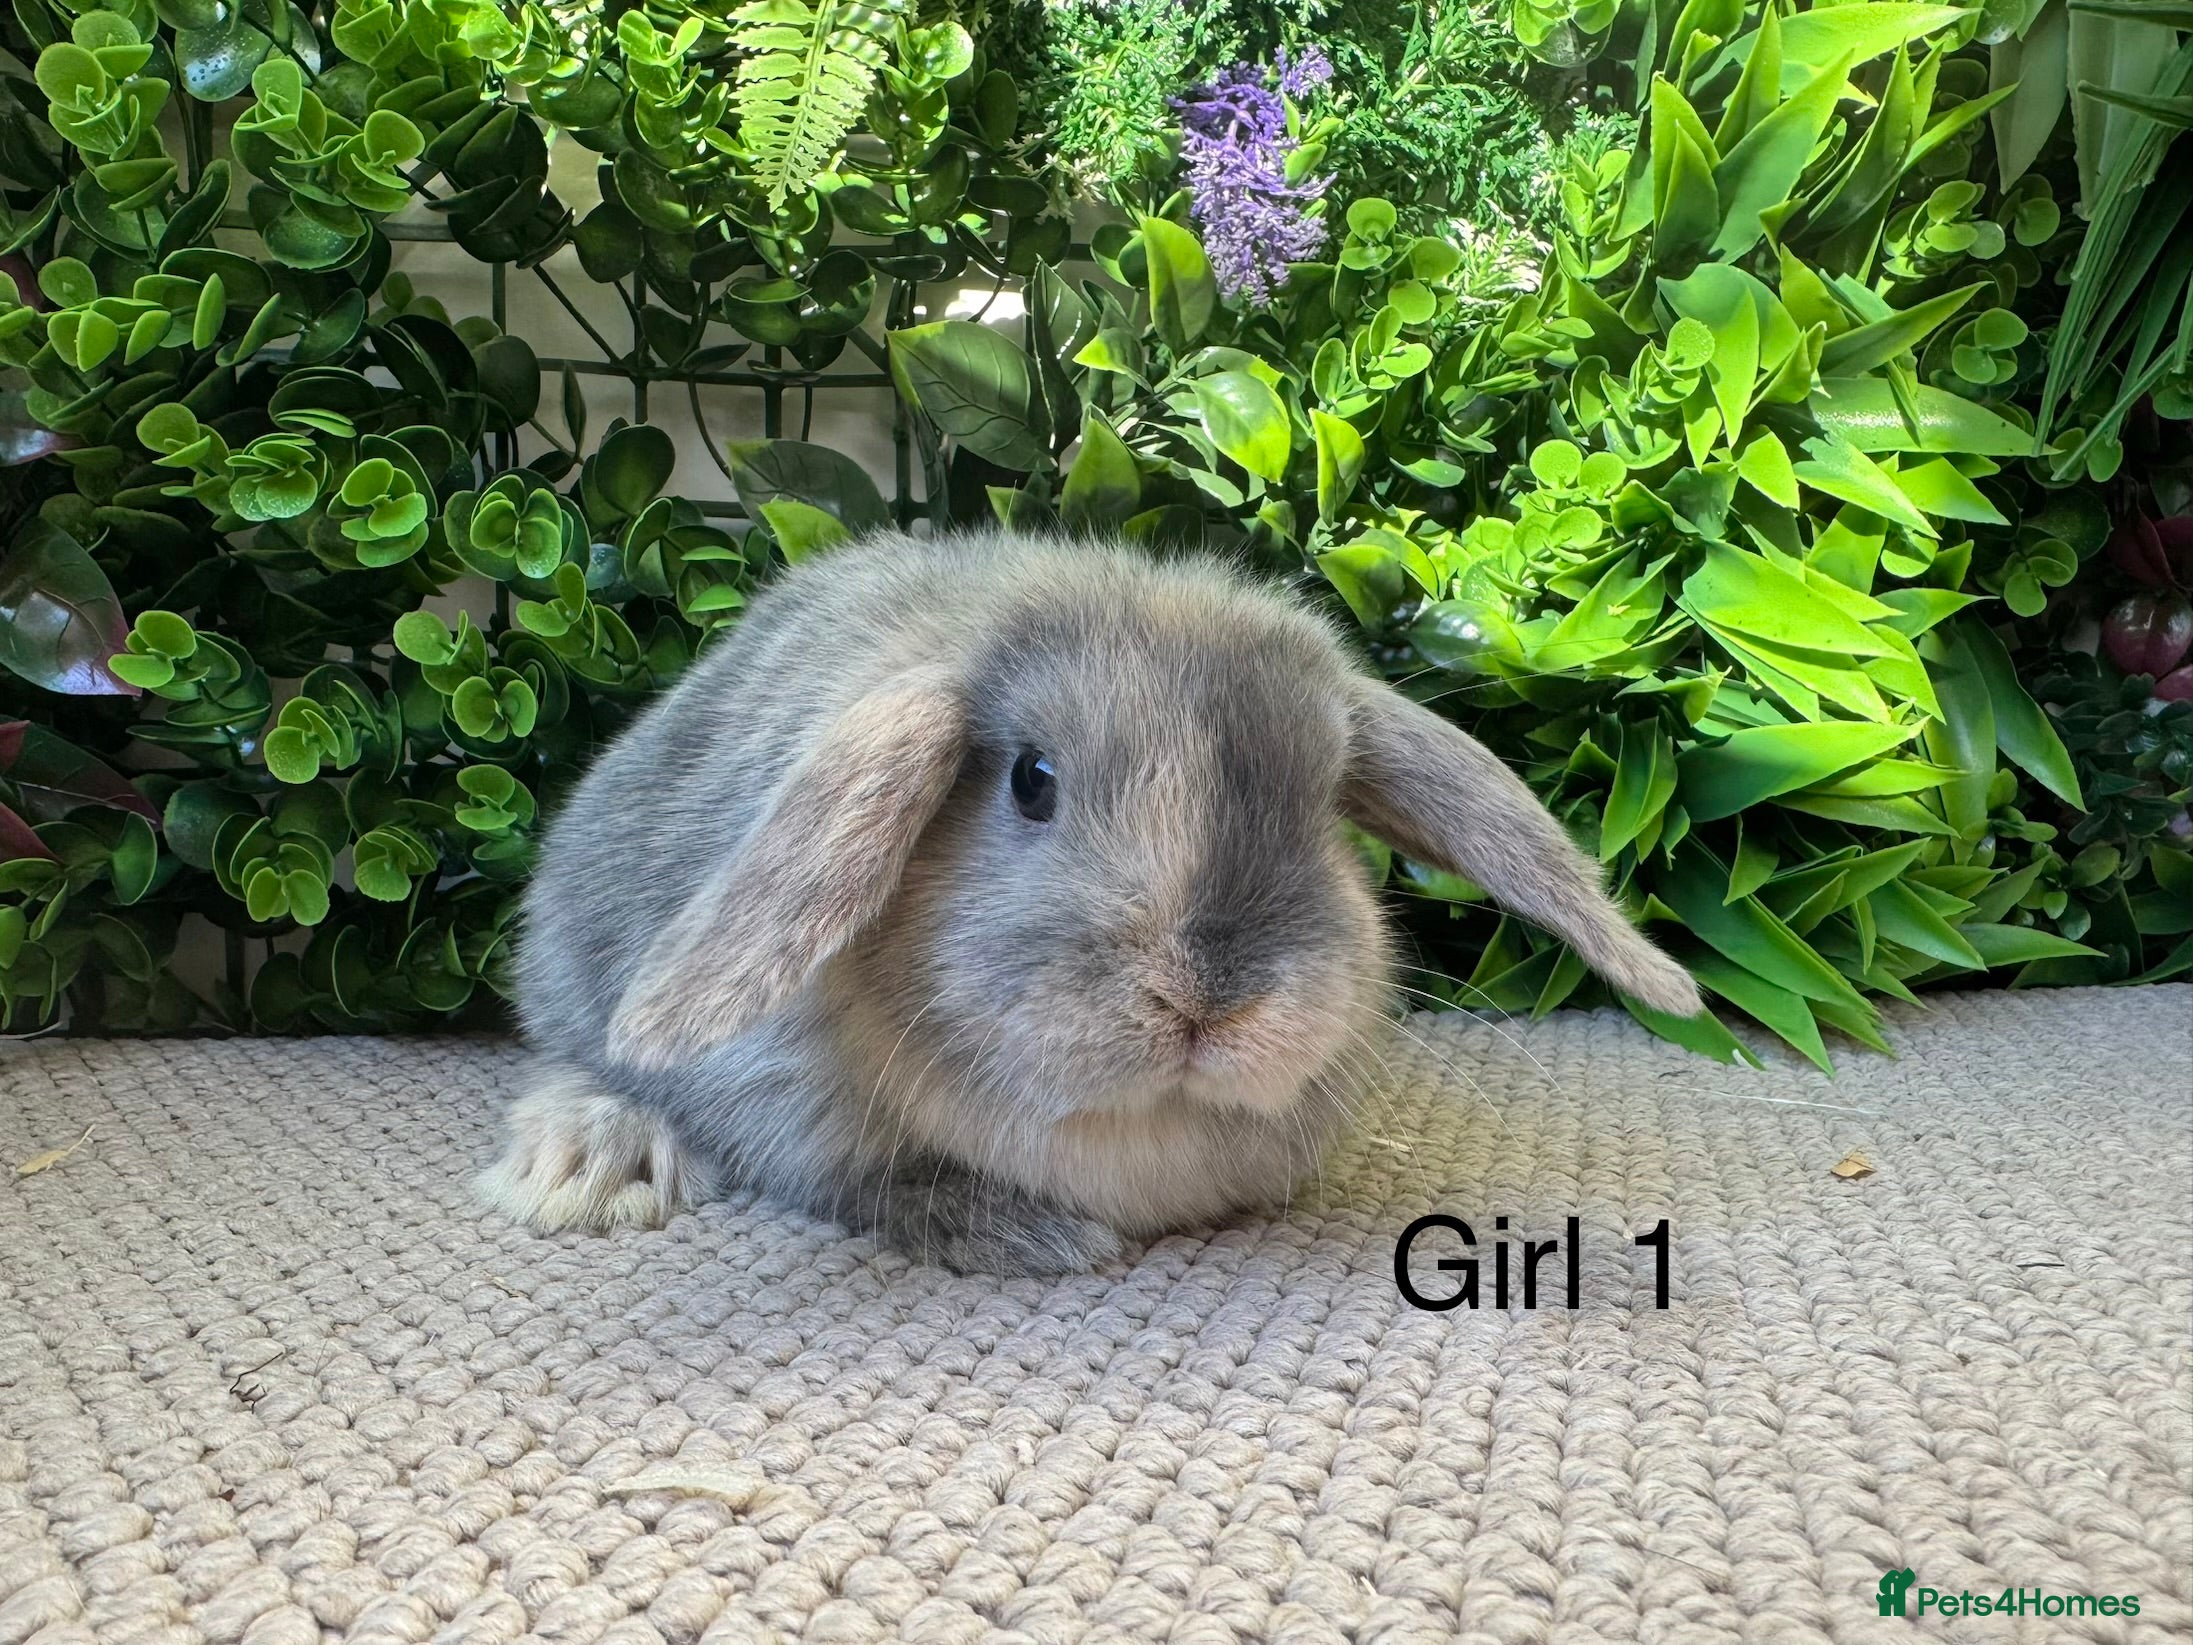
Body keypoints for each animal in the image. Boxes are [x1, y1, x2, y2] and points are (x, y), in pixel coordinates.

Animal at [479, 527, 1701, 1275]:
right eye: (1031, 779)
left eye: (1323, 808)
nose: (1211, 999)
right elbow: (867, 1186)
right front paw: (1036, 1240)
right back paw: (590, 1162)